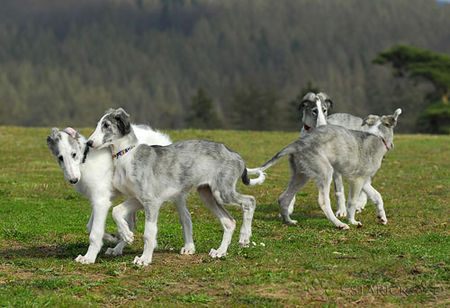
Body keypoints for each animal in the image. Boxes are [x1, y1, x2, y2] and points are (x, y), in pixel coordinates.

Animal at [46, 124, 196, 264]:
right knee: (132, 223)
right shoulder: (101, 200)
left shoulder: (101, 201)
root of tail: (162, 138)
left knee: (186, 217)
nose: (73, 180)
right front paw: (112, 237)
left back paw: (188, 247)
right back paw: (119, 246)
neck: (86, 160)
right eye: (60, 158)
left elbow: (94, 233)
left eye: (74, 154)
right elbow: (90, 226)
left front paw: (88, 257)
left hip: (173, 193)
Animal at [87, 107, 264, 264]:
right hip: (207, 194)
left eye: (106, 125)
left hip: (222, 192)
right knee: (229, 222)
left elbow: (148, 233)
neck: (126, 156)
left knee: (250, 201)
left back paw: (244, 237)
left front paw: (144, 259)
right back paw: (220, 252)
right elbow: (116, 211)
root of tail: (235, 154)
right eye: (98, 124)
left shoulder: (151, 201)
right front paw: (127, 235)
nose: (89, 143)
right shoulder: (136, 199)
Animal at [251, 108, 402, 229]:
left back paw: (289, 221)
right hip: (324, 171)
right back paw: (339, 224)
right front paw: (353, 221)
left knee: (283, 198)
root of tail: (297, 144)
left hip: (301, 175)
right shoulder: (356, 179)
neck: (377, 136)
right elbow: (352, 202)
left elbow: (377, 196)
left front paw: (382, 217)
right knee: (323, 202)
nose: (393, 146)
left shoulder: (363, 180)